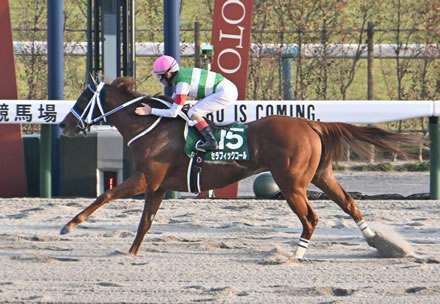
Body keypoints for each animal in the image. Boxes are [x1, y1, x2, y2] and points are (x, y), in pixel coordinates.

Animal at [59, 77, 420, 258]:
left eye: (82, 99)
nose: (64, 125)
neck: (151, 129)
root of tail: (309, 123)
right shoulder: (157, 186)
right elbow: (144, 223)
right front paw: (130, 253)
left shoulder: (144, 179)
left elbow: (105, 196)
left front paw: (70, 225)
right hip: (320, 175)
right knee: (348, 202)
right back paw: (379, 242)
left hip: (291, 184)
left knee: (311, 218)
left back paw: (296, 255)